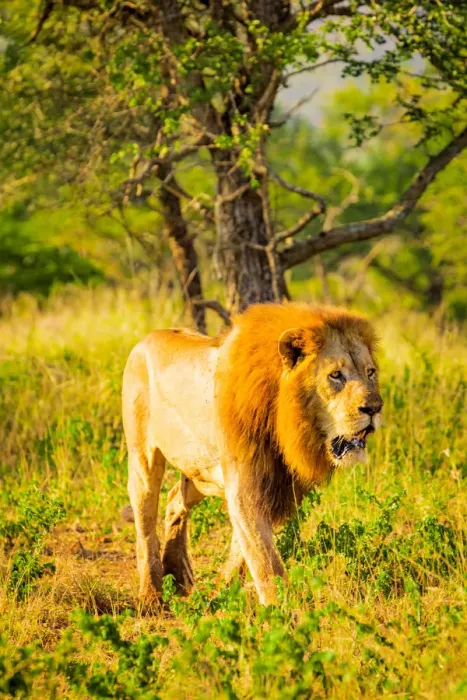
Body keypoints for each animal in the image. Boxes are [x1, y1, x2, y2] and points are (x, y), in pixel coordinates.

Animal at [122, 303, 383, 606]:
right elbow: (266, 562)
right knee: (145, 525)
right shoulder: (243, 486)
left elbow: (243, 549)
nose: (375, 408)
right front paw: (283, 612)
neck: (286, 421)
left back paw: (178, 573)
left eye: (370, 372)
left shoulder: (277, 484)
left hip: (204, 473)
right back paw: (151, 594)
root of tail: (145, 339)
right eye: (336, 375)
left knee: (176, 498)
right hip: (144, 459)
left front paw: (222, 591)